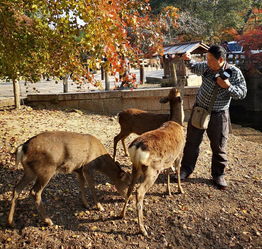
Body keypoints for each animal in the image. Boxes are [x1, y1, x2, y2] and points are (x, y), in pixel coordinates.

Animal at [120, 88, 184, 236]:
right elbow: (178, 171)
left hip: (136, 167)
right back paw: (142, 229)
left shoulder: (167, 160)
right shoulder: (179, 153)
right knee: (139, 191)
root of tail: (137, 147)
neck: (177, 122)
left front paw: (168, 191)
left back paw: (122, 214)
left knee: (130, 187)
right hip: (151, 170)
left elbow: (168, 172)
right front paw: (180, 190)